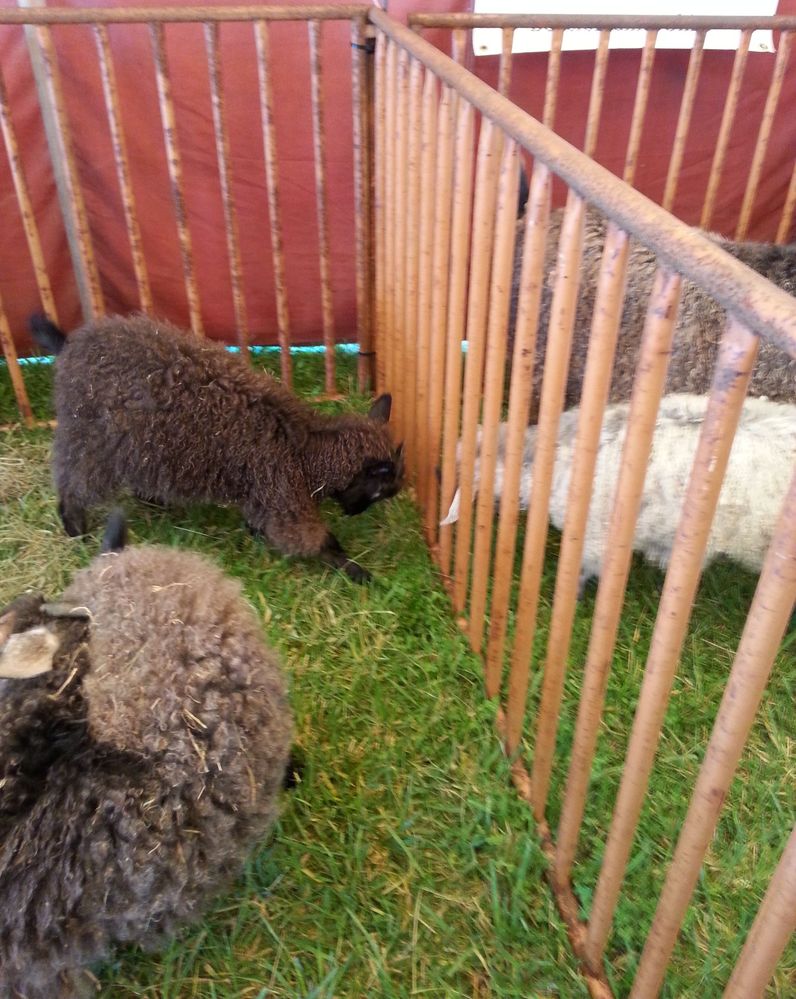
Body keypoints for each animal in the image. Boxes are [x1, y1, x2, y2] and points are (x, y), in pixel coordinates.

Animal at [31, 314, 404, 584]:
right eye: (380, 492)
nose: (353, 513)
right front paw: (357, 571)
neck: (304, 448)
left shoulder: (264, 494)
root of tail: (69, 345)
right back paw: (75, 529)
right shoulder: (283, 498)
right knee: (74, 483)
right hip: (91, 439)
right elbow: (314, 541)